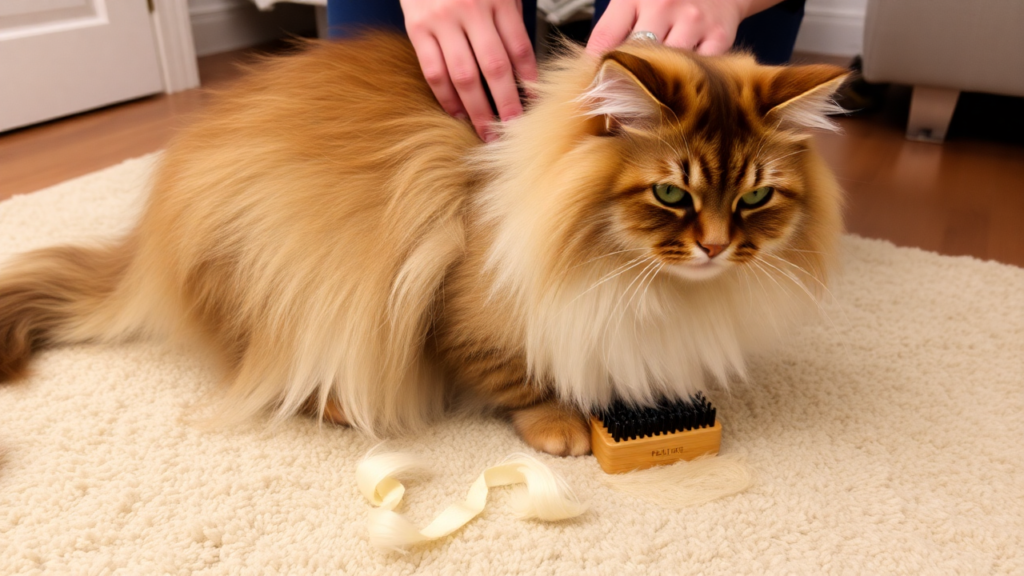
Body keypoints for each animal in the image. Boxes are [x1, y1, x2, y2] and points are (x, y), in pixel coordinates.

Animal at [0, 31, 847, 455]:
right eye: (672, 195)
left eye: (755, 199)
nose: (716, 248)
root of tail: (144, 241)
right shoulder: (457, 300)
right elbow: (517, 378)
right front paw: (561, 428)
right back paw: (338, 405)